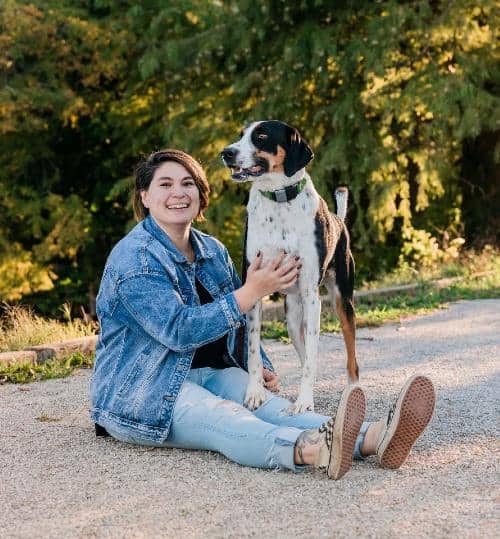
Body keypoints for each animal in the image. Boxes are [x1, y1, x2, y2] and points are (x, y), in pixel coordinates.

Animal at [221, 119, 358, 414]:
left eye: (261, 136)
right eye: (241, 135)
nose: (226, 153)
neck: (279, 199)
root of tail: (339, 221)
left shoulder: (311, 295)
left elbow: (314, 357)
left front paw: (304, 401)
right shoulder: (254, 290)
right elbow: (253, 351)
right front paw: (255, 393)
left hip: (341, 302)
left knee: (350, 354)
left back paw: (353, 390)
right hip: (294, 320)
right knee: (305, 352)